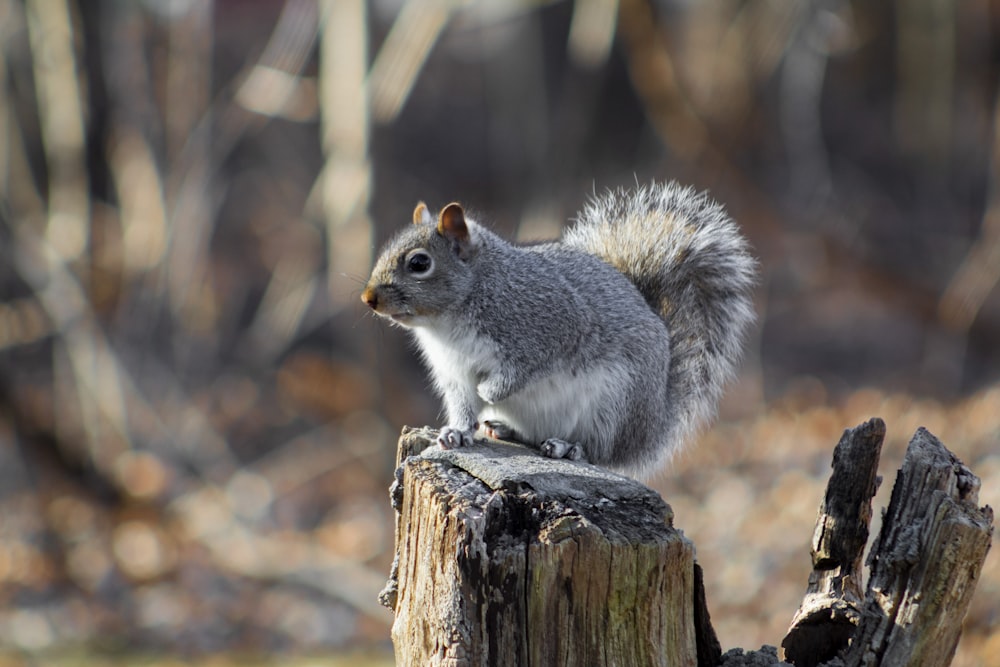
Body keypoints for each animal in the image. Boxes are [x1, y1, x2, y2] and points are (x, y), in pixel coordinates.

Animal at [364, 181, 752, 474]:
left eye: (419, 263)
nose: (368, 298)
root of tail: (652, 426)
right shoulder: (454, 373)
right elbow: (462, 403)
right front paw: (456, 433)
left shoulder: (556, 327)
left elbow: (522, 370)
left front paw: (491, 390)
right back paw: (503, 428)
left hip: (615, 404)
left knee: (602, 452)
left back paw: (569, 447)